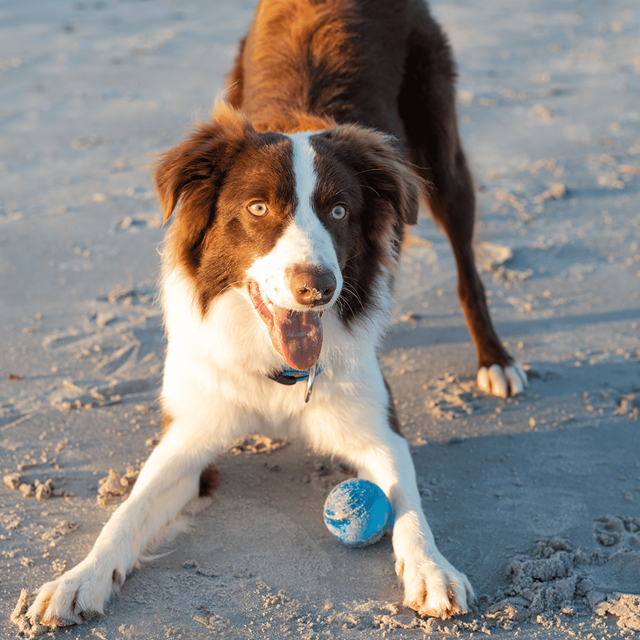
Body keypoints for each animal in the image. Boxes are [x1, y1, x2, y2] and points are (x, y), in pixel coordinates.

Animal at [25, 0, 524, 632]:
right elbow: (128, 511)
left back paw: (496, 360)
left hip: (440, 153)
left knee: (466, 265)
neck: (276, 373)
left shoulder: (378, 428)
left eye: (340, 211)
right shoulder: (188, 434)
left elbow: (410, 506)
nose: (319, 289)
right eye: (258, 208)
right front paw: (79, 579)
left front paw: (432, 569)